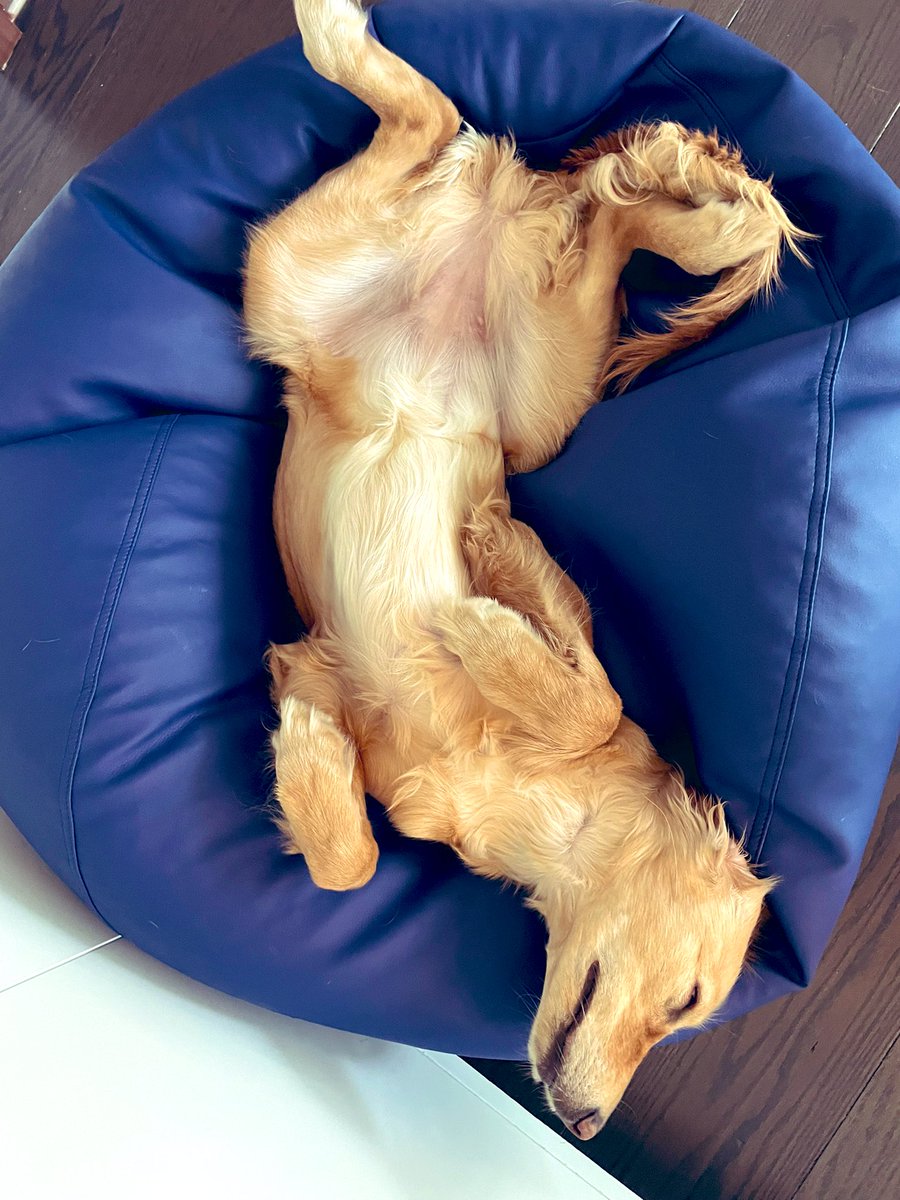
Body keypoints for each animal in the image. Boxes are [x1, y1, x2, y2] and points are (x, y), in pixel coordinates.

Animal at [244, 0, 807, 1139]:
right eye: (685, 1003)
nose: (588, 1129)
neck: (516, 800)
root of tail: (481, 230)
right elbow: (591, 694)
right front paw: (487, 621)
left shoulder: (337, 683)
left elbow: (350, 864)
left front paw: (309, 762)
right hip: (361, 314)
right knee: (526, 166)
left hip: (503, 383)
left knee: (556, 186)